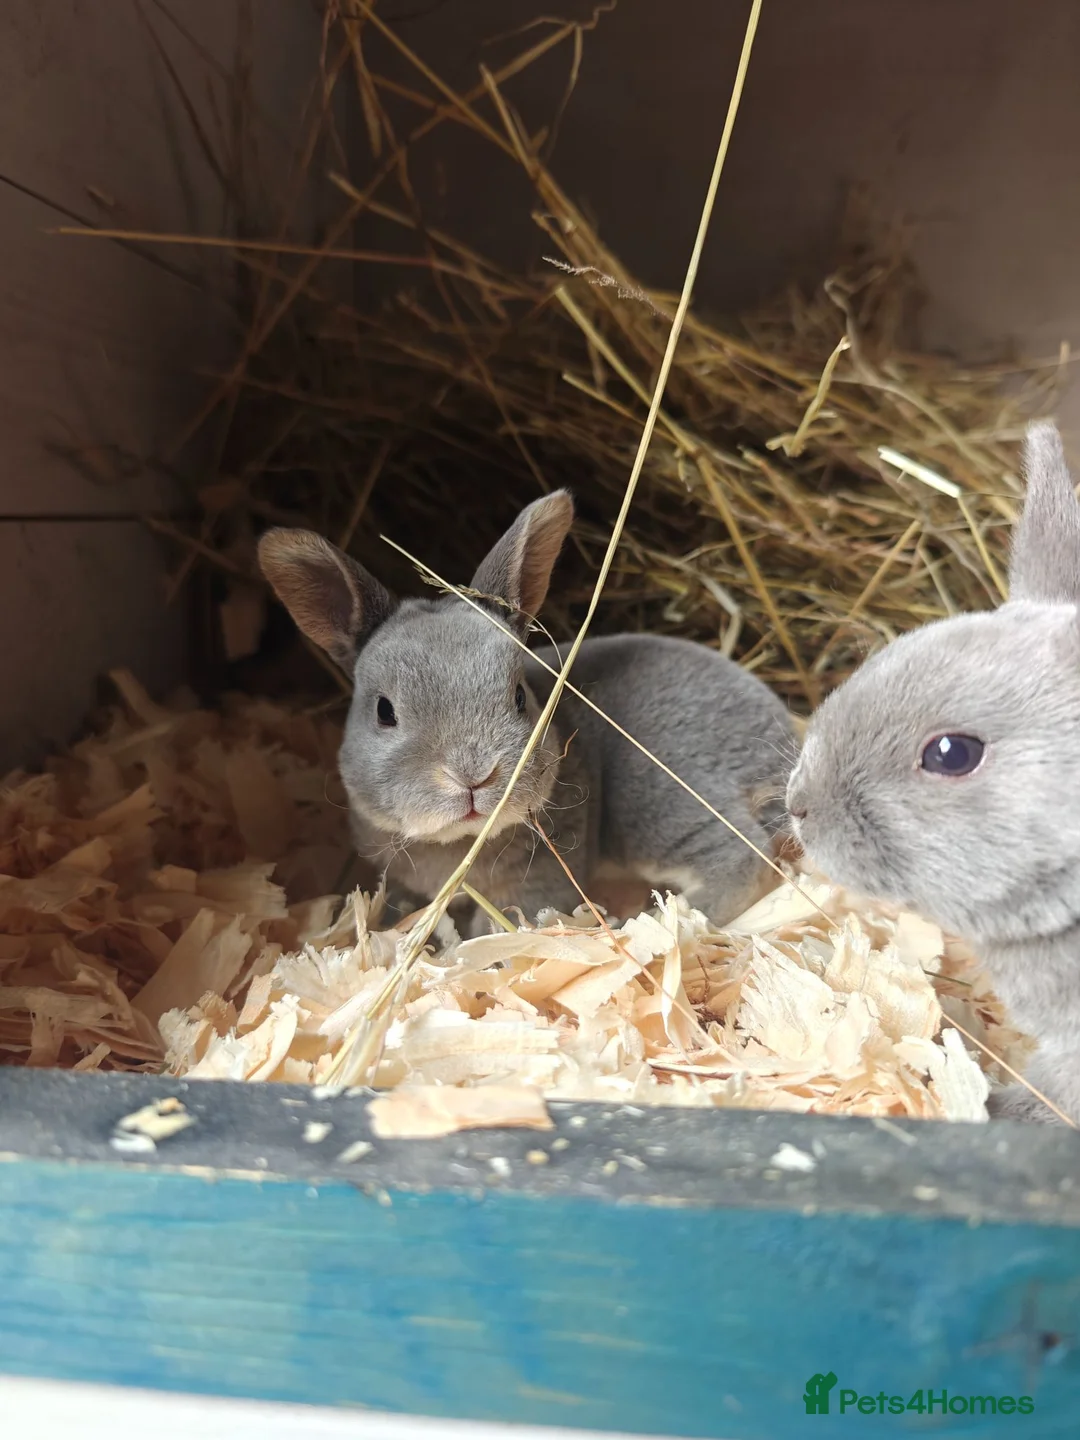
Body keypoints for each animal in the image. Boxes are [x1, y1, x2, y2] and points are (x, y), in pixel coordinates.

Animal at [258, 490, 797, 939]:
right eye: (384, 711)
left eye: (519, 696)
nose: (472, 776)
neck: (459, 844)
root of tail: (780, 750)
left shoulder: (541, 882)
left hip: (656, 802)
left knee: (740, 856)